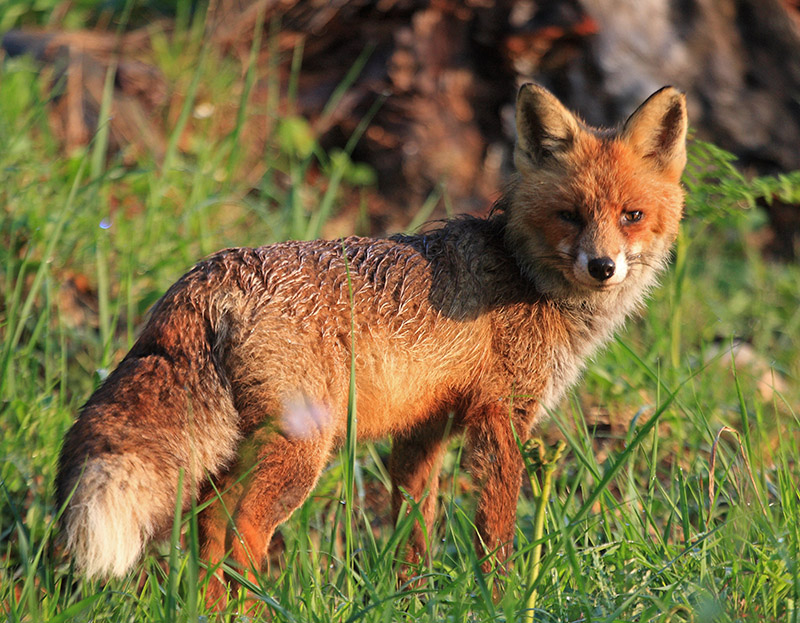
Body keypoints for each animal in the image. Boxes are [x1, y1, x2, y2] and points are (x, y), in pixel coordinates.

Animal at [56, 84, 688, 604]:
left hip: (235, 451)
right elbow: (496, 534)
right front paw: (501, 599)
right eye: (570, 215)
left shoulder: (423, 430)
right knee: (242, 533)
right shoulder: (500, 422)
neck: (521, 271)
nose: (603, 267)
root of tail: (212, 272)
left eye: (632, 215)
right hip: (301, 451)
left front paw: (413, 600)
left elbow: (413, 530)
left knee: (208, 531)